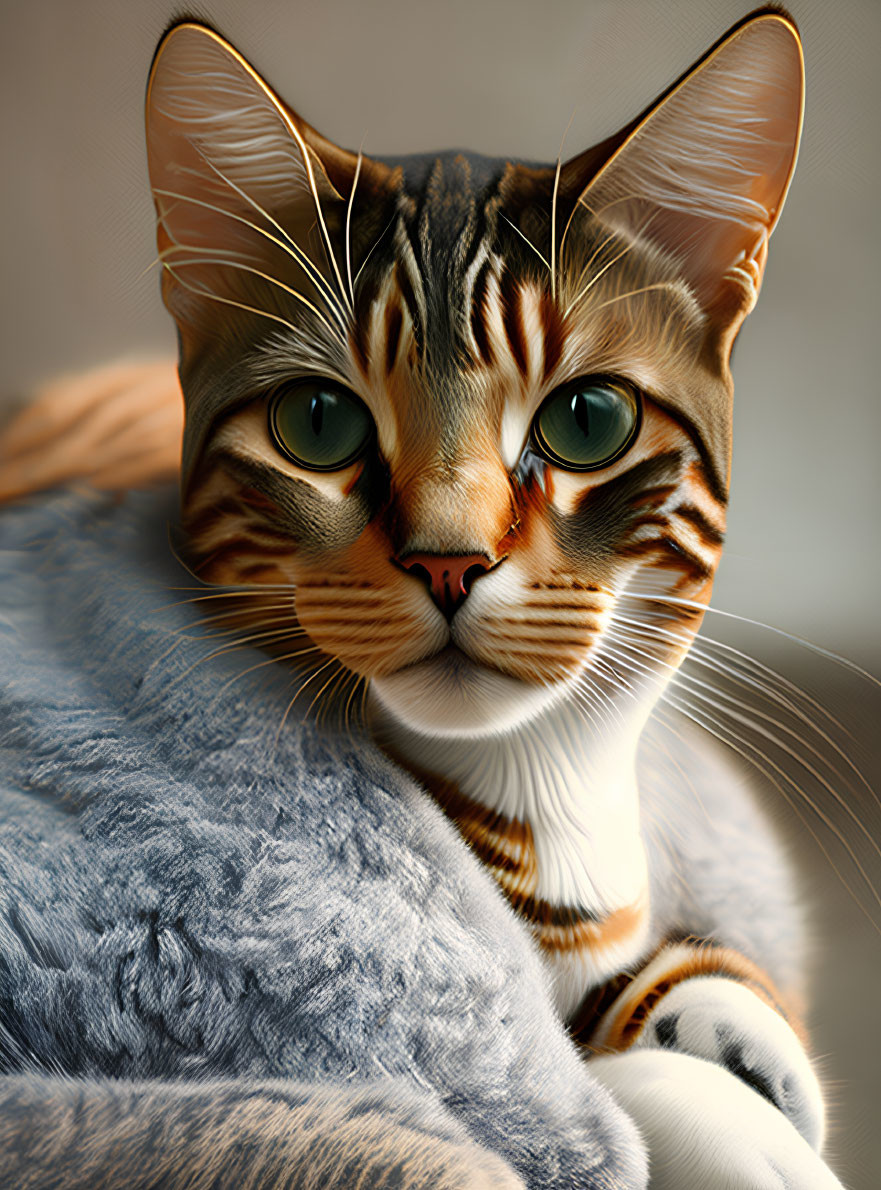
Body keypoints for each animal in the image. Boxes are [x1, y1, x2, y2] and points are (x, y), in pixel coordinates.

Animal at [0, 9, 847, 1190]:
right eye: (317, 422)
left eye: (587, 419)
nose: (448, 561)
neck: (544, 797)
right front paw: (715, 1111)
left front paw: (736, 1040)